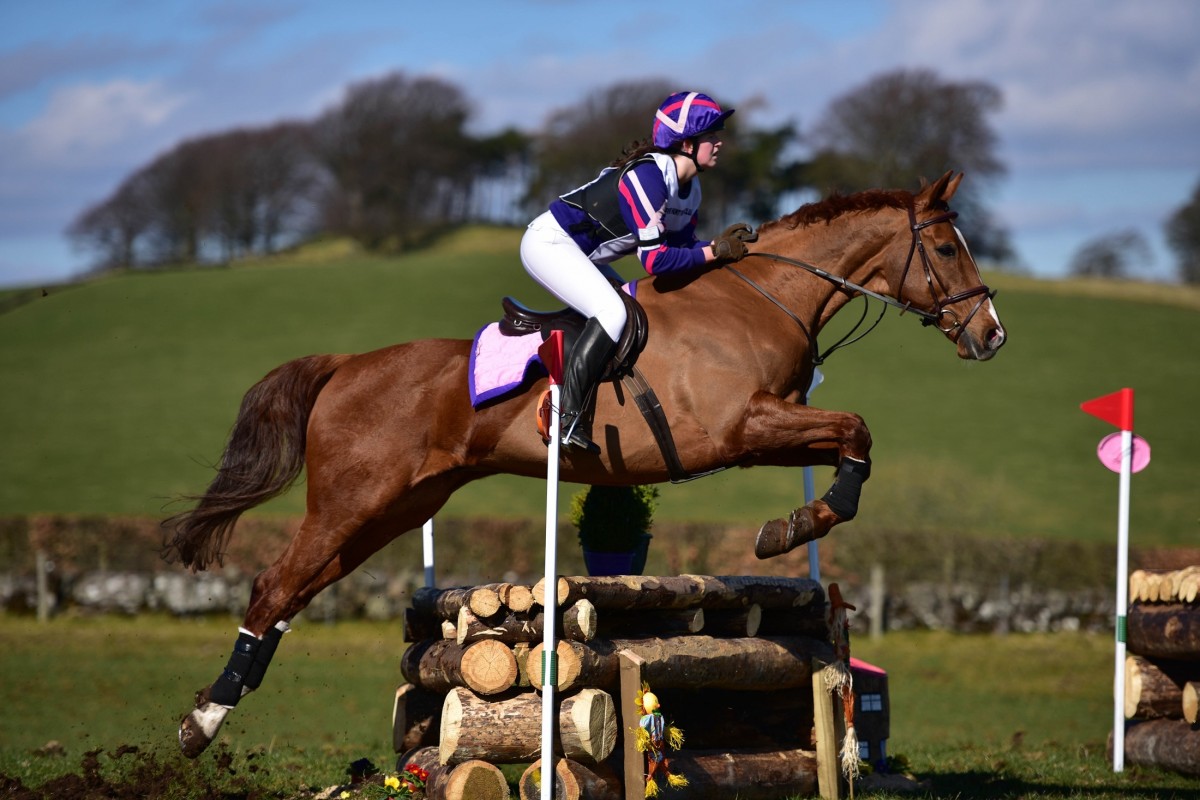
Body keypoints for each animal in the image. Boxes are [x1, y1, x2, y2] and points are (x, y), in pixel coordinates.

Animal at [166, 169, 1003, 758]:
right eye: (945, 248)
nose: (991, 334)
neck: (760, 299)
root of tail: (345, 365)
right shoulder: (740, 426)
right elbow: (856, 430)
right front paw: (795, 527)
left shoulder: (768, 429)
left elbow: (851, 440)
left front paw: (799, 521)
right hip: (352, 503)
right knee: (274, 585)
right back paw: (202, 723)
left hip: (391, 509)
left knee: (295, 591)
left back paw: (219, 706)